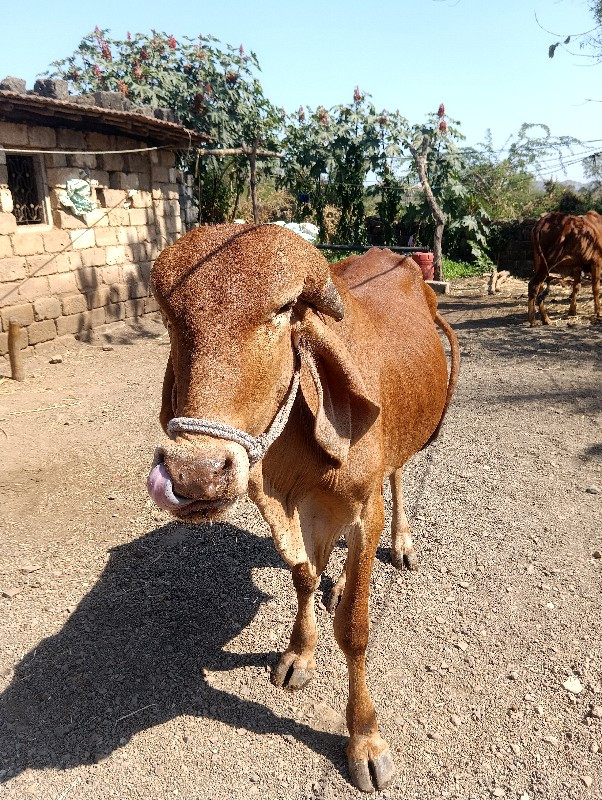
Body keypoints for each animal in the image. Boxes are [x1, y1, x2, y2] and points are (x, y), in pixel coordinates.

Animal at [148, 223, 458, 788]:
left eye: (281, 311)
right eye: (170, 319)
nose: (195, 474)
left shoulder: (362, 512)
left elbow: (354, 630)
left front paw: (365, 739)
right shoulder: (280, 507)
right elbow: (303, 577)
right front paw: (300, 649)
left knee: (398, 475)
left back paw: (402, 541)